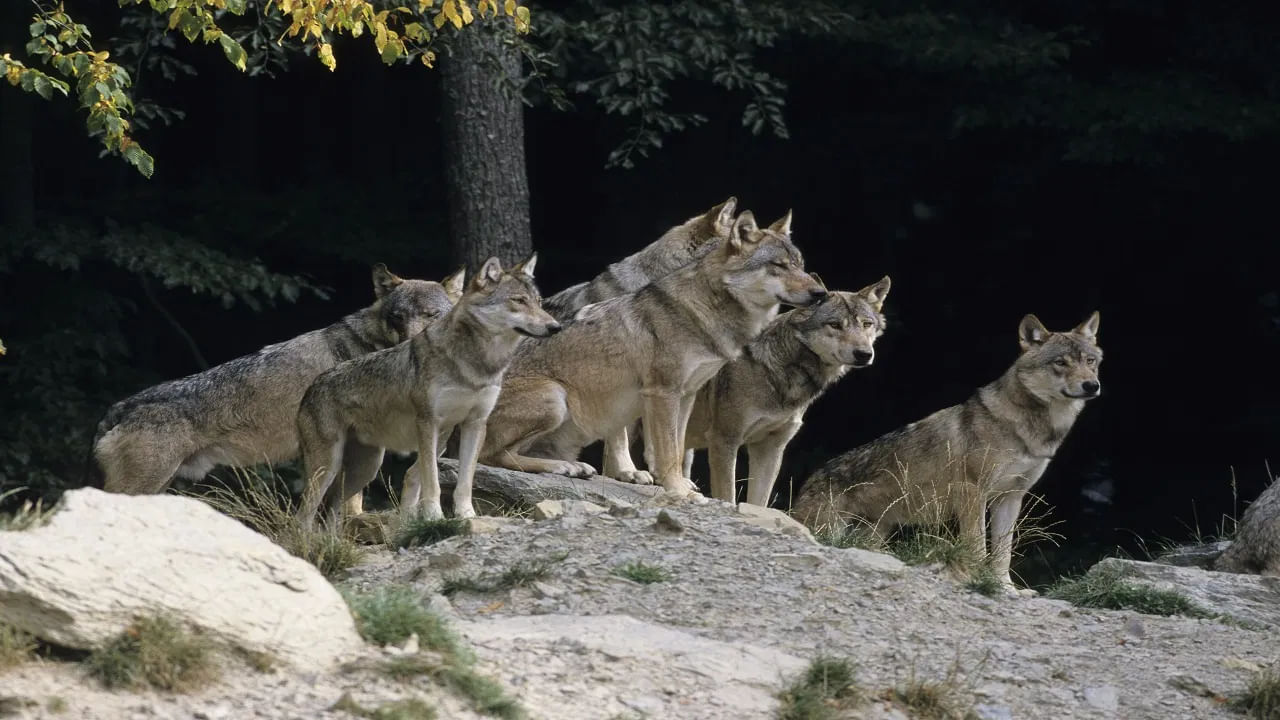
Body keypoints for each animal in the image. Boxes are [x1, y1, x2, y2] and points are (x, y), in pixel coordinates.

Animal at [295, 255, 560, 525]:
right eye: (518, 300)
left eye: (539, 302)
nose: (555, 327)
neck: (477, 365)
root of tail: (311, 387)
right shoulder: (428, 423)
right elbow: (431, 479)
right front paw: (434, 516)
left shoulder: (475, 424)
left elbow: (465, 481)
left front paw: (467, 515)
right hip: (328, 469)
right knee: (303, 515)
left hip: (365, 469)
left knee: (330, 512)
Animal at [478, 211, 828, 495]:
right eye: (778, 266)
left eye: (801, 266)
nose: (821, 293)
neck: (705, 312)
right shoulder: (662, 392)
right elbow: (665, 450)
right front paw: (677, 490)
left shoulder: (686, 395)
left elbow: (678, 448)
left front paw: (679, 485)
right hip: (555, 398)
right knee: (490, 456)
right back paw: (564, 468)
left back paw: (572, 467)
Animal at [682, 277, 891, 507]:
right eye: (835, 325)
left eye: (866, 324)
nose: (864, 354)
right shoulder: (724, 440)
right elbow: (728, 496)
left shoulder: (770, 449)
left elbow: (758, 502)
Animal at [793, 312, 1103, 592]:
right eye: (1060, 363)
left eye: (1090, 362)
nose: (1092, 385)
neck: (1031, 429)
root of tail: (811, 478)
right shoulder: (972, 492)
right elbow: (977, 545)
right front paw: (976, 577)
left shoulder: (1010, 497)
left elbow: (1003, 552)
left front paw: (1005, 587)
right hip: (831, 528)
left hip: (874, 534)